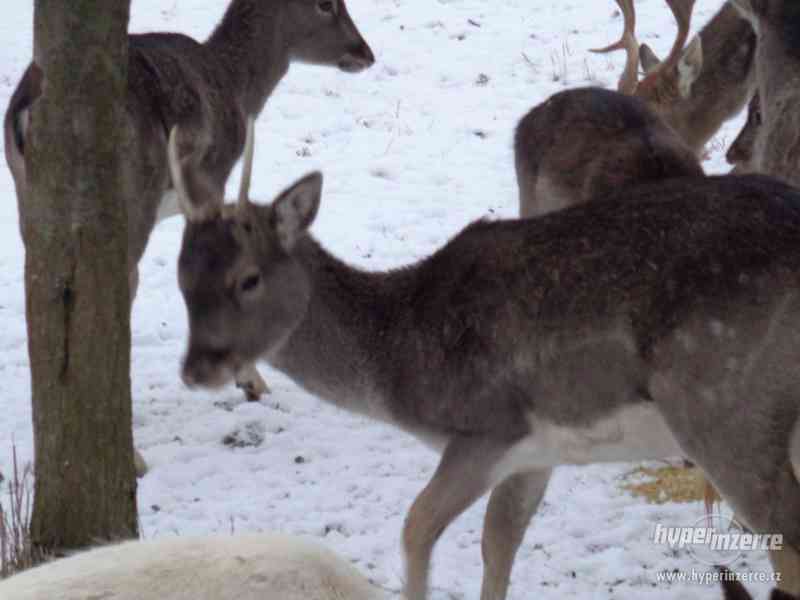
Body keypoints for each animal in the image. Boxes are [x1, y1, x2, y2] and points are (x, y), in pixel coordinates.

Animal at [3, 0, 376, 414]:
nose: (365, 52)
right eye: (327, 4)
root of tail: (27, 111)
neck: (236, 87)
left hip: (30, 198)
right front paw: (250, 381)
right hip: (130, 193)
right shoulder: (213, 177)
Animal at [172, 118, 800, 600]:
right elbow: (497, 545)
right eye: (181, 276)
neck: (398, 360)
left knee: (787, 540)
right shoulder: (537, 453)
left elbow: (416, 528)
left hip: (723, 409)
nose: (197, 369)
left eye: (247, 278)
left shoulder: (487, 426)